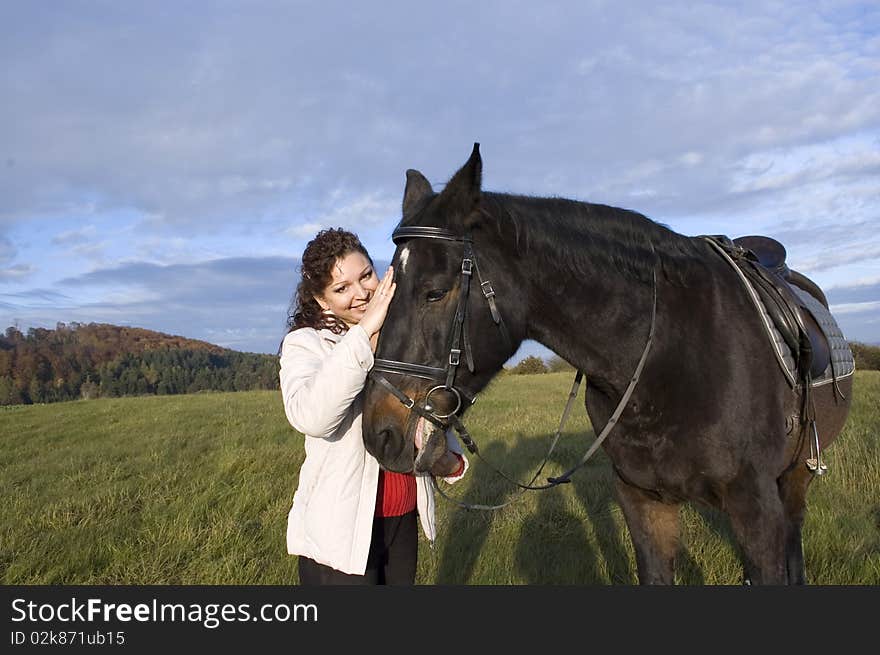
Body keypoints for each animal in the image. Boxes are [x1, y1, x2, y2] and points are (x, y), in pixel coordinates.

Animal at [360, 144, 852, 584]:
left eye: (435, 292)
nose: (379, 434)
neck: (670, 356)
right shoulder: (644, 502)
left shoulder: (756, 508)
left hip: (794, 480)